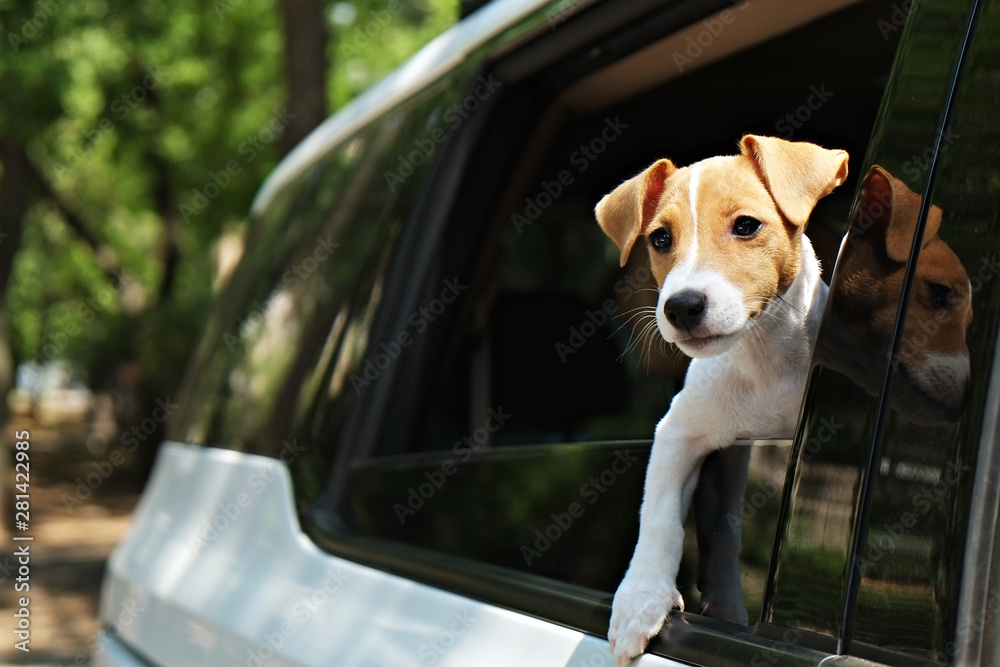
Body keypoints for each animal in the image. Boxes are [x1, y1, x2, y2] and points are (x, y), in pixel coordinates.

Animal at [596, 134, 848, 664]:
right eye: (660, 239)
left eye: (747, 226)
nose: (682, 306)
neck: (766, 359)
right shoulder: (682, 432)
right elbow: (661, 518)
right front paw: (639, 599)